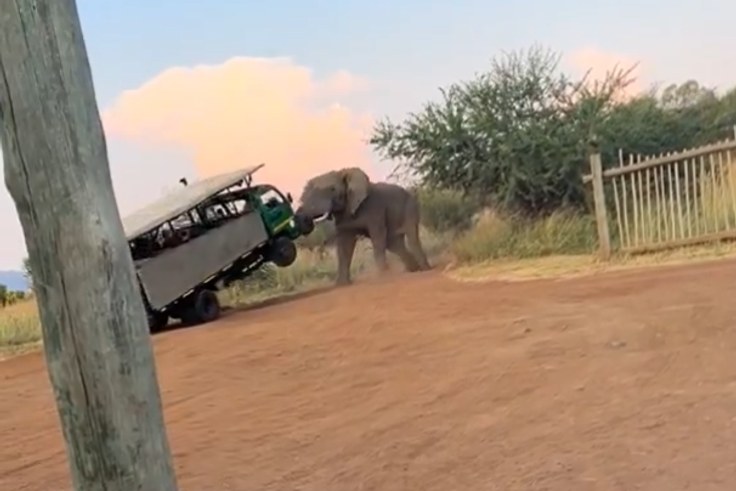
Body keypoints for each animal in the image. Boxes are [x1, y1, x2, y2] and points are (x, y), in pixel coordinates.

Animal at [295, 167, 431, 286]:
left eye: (333, 189)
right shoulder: (343, 218)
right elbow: (345, 245)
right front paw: (342, 284)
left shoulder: (375, 208)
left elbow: (377, 236)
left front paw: (383, 276)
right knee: (393, 243)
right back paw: (412, 270)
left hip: (410, 207)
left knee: (411, 237)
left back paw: (425, 269)